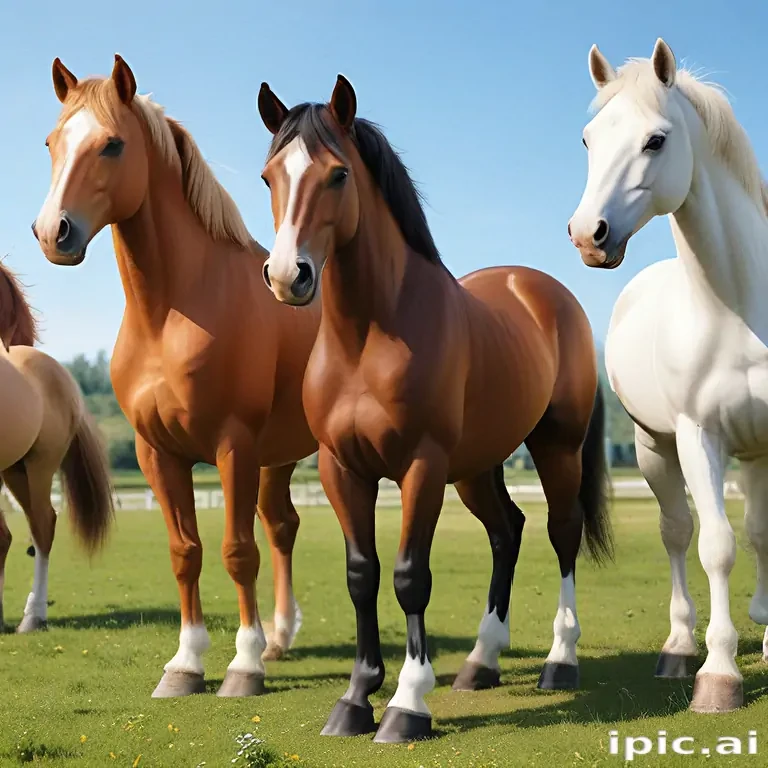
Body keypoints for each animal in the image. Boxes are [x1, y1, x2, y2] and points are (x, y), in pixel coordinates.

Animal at [33, 55, 321, 698]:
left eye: (112, 145)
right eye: (51, 143)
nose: (52, 232)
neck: (171, 314)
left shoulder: (233, 446)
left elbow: (237, 550)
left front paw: (244, 666)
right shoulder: (157, 452)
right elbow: (184, 551)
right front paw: (186, 664)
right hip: (281, 457)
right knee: (283, 526)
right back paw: (283, 637)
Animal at [256, 75, 613, 742]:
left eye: (338, 175)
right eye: (269, 177)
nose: (289, 276)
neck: (368, 337)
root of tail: (543, 290)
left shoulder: (420, 467)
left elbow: (408, 576)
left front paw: (408, 702)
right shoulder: (344, 469)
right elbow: (362, 574)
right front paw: (356, 697)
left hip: (555, 448)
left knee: (562, 532)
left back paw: (560, 661)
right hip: (475, 468)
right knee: (507, 531)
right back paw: (482, 661)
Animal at [568, 38, 768, 714]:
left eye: (656, 140)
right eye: (588, 139)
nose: (588, 235)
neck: (739, 310)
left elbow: (759, 536)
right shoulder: (697, 437)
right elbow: (716, 547)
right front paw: (719, 675)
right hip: (655, 449)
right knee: (678, 534)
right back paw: (681, 646)